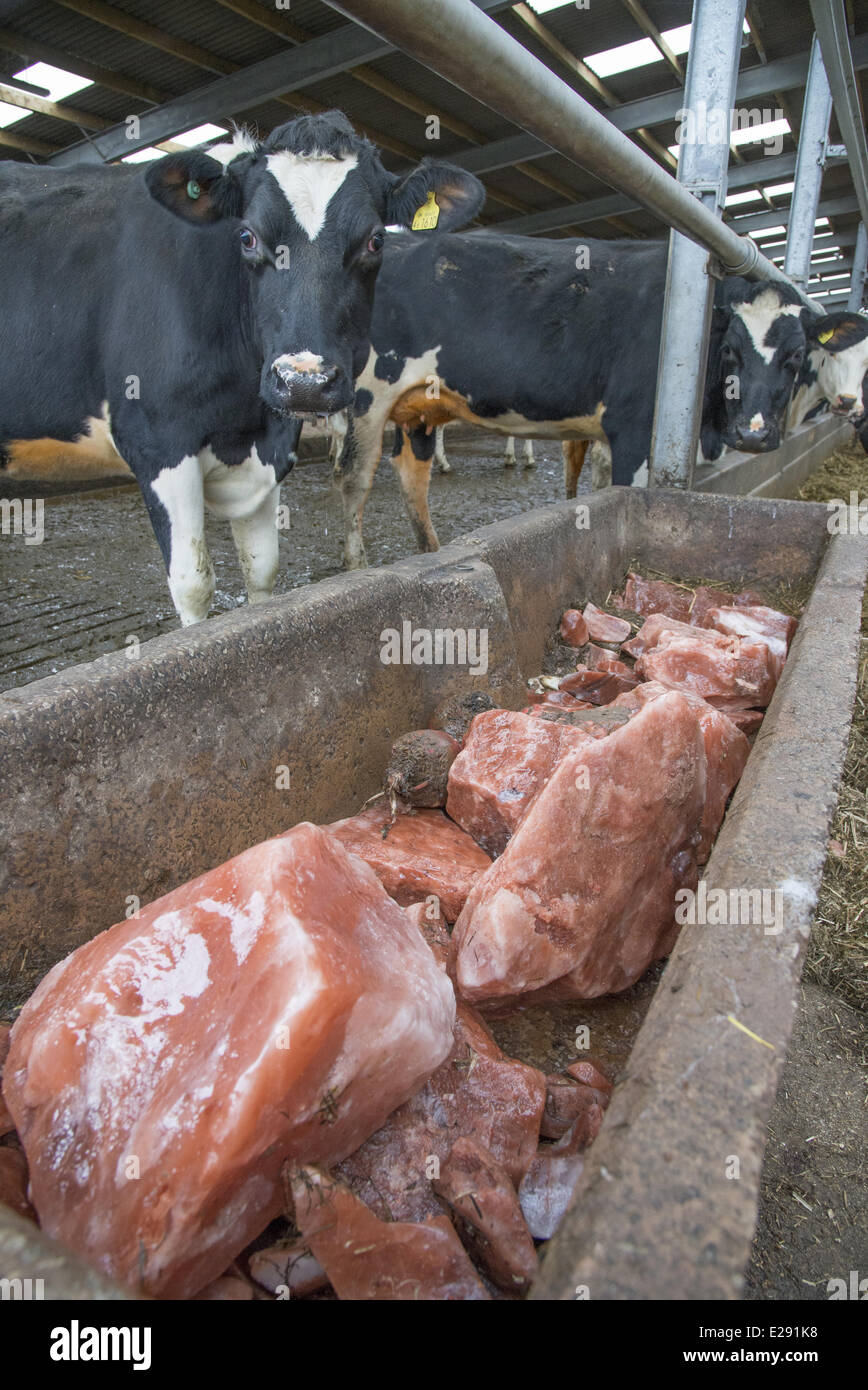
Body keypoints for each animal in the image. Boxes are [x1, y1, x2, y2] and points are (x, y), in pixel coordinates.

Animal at [1, 113, 481, 625]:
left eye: (376, 239)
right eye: (247, 237)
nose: (304, 382)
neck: (242, 415)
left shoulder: (267, 446)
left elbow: (262, 569)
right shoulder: (155, 441)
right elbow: (193, 584)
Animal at [338, 230, 806, 567]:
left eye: (796, 356)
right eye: (730, 350)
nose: (753, 434)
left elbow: (598, 487)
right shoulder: (635, 429)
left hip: (419, 407)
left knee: (412, 476)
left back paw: (430, 552)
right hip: (366, 397)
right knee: (354, 479)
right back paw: (357, 565)